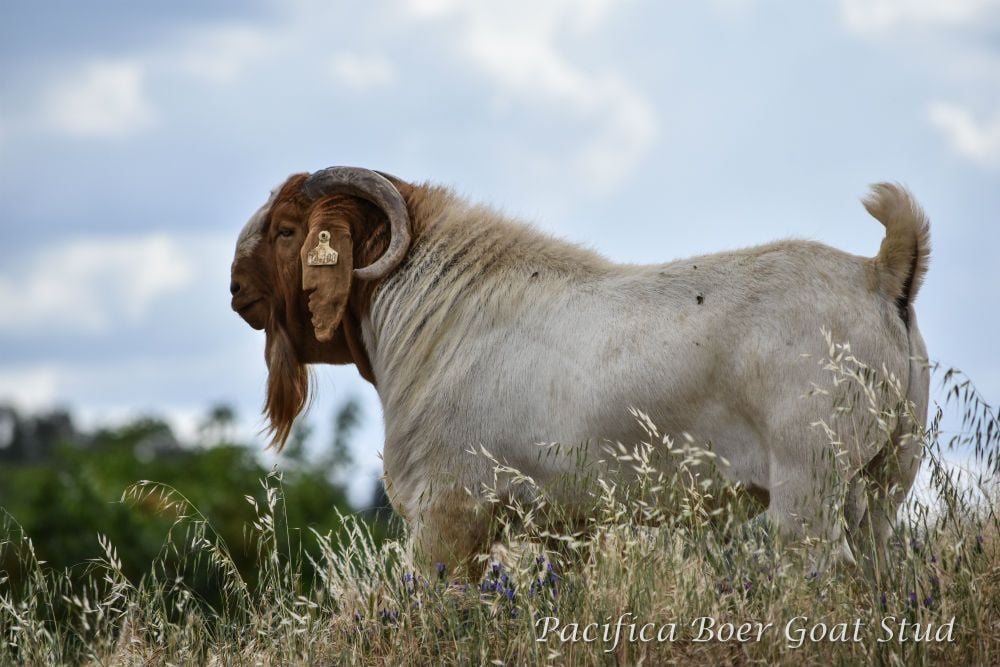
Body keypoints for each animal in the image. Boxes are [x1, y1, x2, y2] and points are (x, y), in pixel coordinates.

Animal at [230, 167, 930, 578]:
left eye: (288, 230)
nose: (236, 289)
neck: (442, 310)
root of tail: (878, 272)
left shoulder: (447, 514)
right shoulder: (568, 526)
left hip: (808, 484)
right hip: (886, 477)